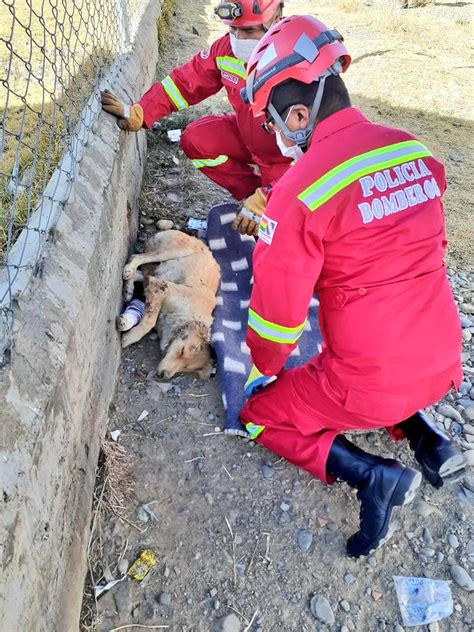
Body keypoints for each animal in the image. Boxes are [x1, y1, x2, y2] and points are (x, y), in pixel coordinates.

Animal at [118, 232, 222, 380]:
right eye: (182, 351)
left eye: (187, 368)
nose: (163, 376)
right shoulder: (162, 288)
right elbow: (149, 321)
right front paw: (129, 338)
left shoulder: (156, 284)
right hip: (174, 251)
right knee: (137, 256)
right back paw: (128, 270)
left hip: (158, 271)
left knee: (140, 274)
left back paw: (128, 289)